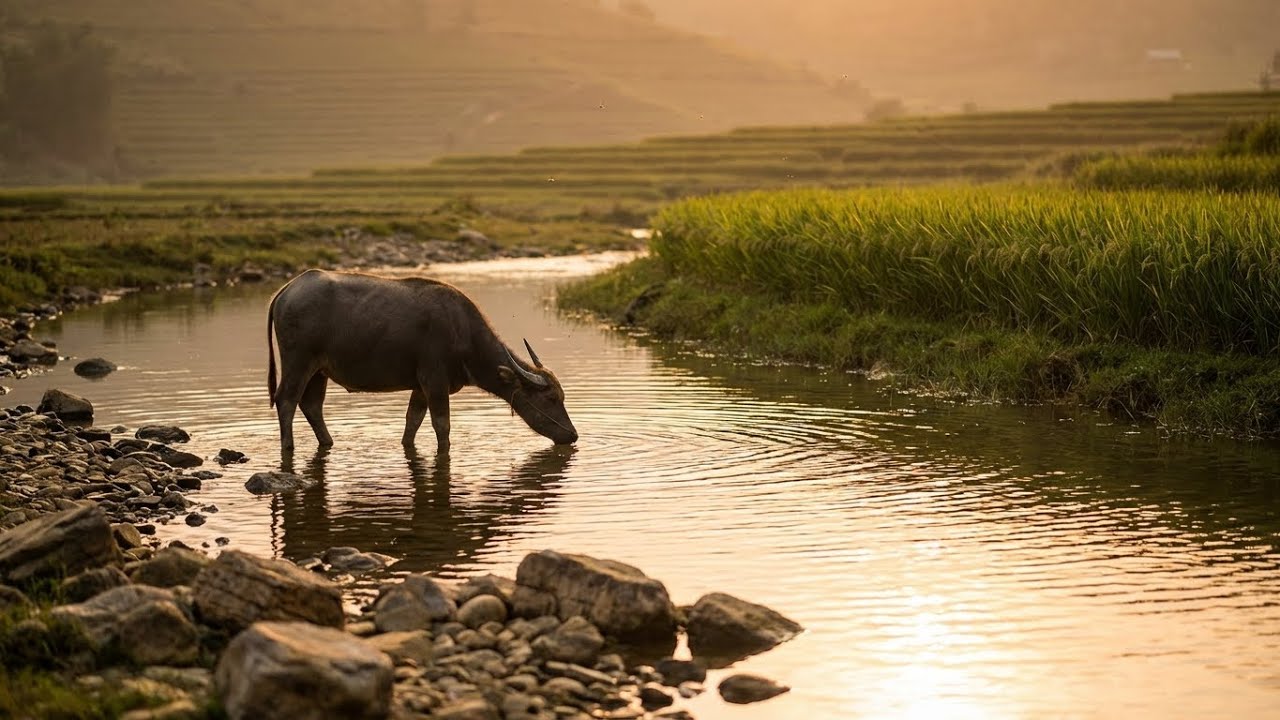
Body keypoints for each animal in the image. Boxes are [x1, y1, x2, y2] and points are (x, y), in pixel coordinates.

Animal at [267, 269, 578, 452]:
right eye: (551, 399)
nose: (572, 435)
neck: (463, 333)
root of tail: (287, 289)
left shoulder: (420, 386)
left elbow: (412, 422)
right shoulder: (435, 382)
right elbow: (442, 425)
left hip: (319, 370)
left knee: (311, 405)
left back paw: (328, 442)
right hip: (298, 362)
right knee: (287, 401)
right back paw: (288, 448)